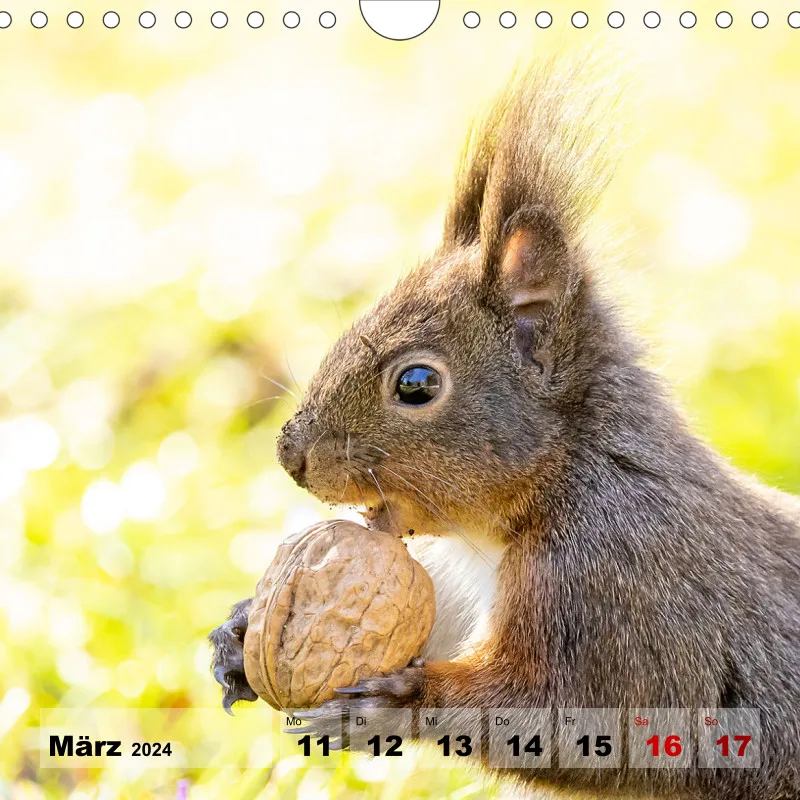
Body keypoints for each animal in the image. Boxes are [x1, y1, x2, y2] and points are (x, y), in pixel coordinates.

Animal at [210, 60, 800, 799]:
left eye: (416, 384)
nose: (291, 455)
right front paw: (239, 633)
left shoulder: (615, 587)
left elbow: (575, 713)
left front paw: (397, 706)